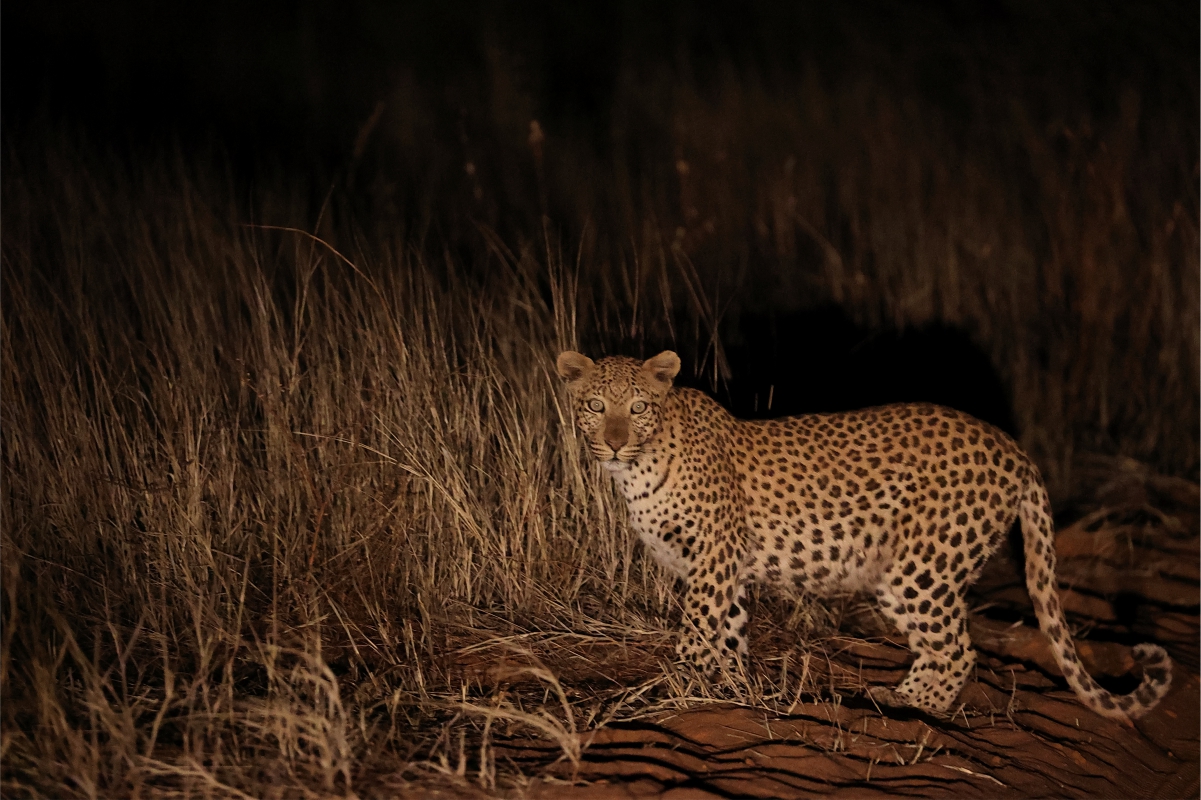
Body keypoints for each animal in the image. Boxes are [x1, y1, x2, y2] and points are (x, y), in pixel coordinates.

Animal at [559, 345, 1172, 720]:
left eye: (639, 406)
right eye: (596, 405)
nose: (614, 441)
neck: (639, 467)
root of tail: (1013, 448)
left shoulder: (712, 560)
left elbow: (694, 635)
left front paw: (672, 688)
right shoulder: (724, 571)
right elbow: (727, 637)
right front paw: (728, 691)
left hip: (919, 570)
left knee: (957, 650)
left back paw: (906, 709)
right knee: (946, 648)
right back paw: (893, 699)